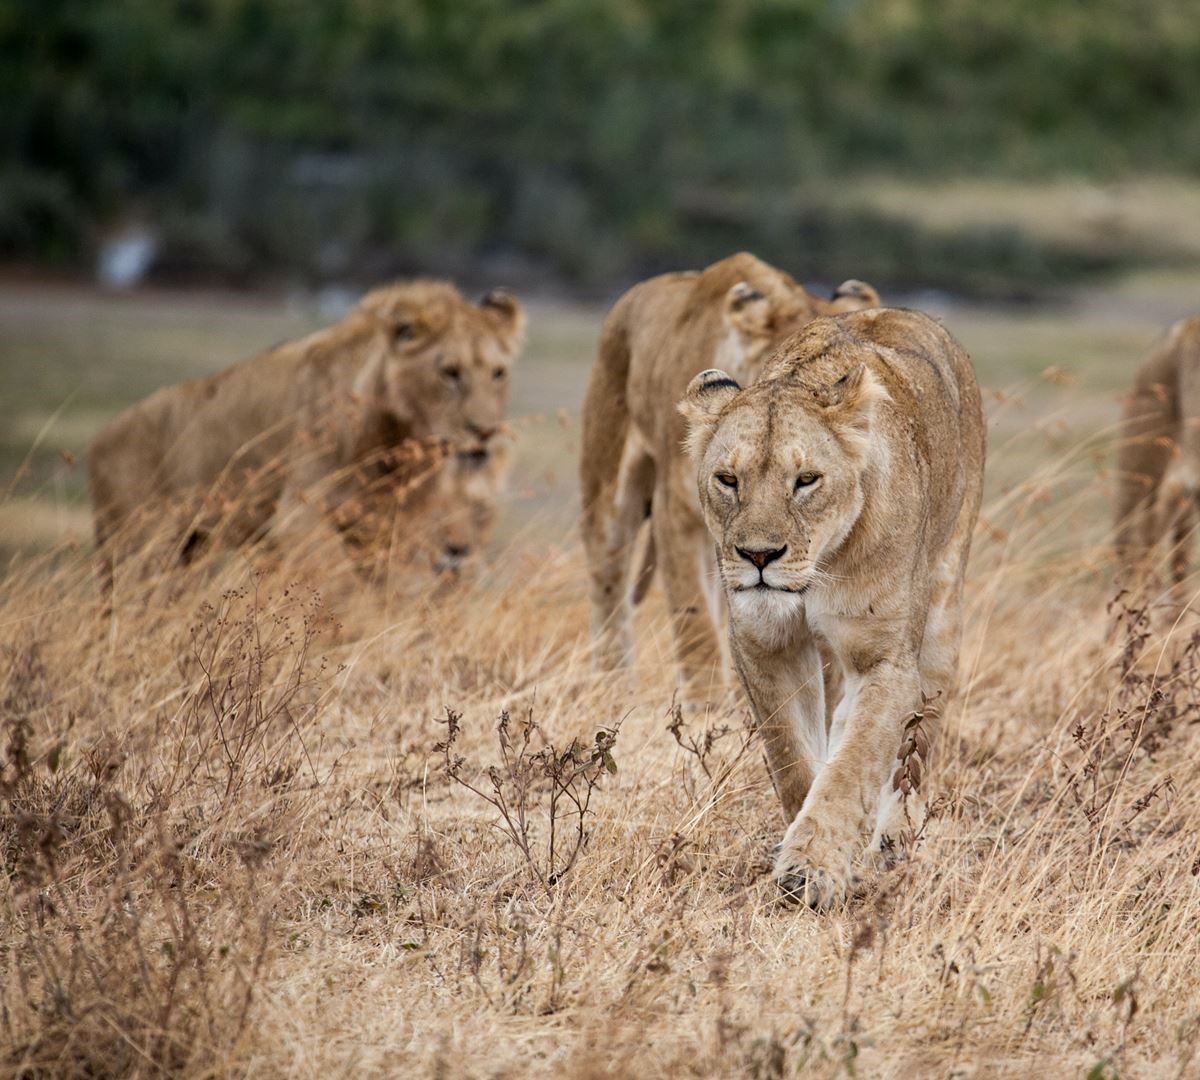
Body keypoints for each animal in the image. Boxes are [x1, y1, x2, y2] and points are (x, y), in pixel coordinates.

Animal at [91, 278, 523, 600]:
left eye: (498, 373)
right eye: (450, 372)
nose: (485, 431)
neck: (394, 442)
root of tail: (101, 437)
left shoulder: (387, 527)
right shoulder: (300, 519)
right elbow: (332, 590)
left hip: (189, 546)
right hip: (138, 546)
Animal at [580, 249, 883, 705]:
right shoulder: (678, 516)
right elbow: (695, 625)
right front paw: (706, 708)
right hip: (608, 489)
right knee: (609, 586)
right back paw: (613, 687)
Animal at [681, 307, 979, 907]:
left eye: (806, 481)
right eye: (728, 480)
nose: (759, 556)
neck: (817, 572)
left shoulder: (885, 660)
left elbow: (854, 765)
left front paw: (812, 870)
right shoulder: (765, 645)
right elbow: (794, 758)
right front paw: (804, 842)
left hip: (942, 616)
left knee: (916, 748)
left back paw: (892, 844)